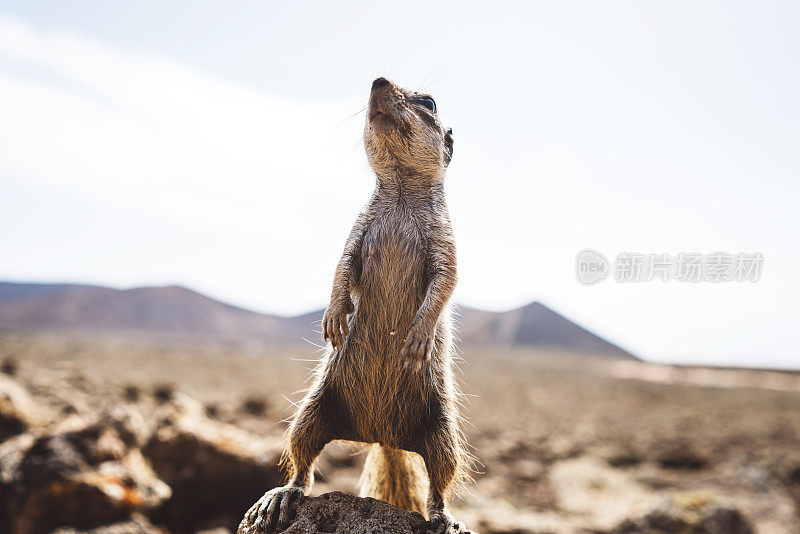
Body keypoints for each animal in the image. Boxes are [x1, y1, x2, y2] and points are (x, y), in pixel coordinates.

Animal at [247, 77, 472, 532]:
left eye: (428, 102)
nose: (378, 81)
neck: (401, 193)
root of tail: (382, 435)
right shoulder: (357, 230)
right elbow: (341, 267)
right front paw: (334, 316)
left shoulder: (446, 242)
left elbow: (446, 281)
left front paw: (418, 336)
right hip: (313, 409)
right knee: (301, 459)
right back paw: (281, 497)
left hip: (442, 429)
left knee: (441, 479)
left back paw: (444, 517)